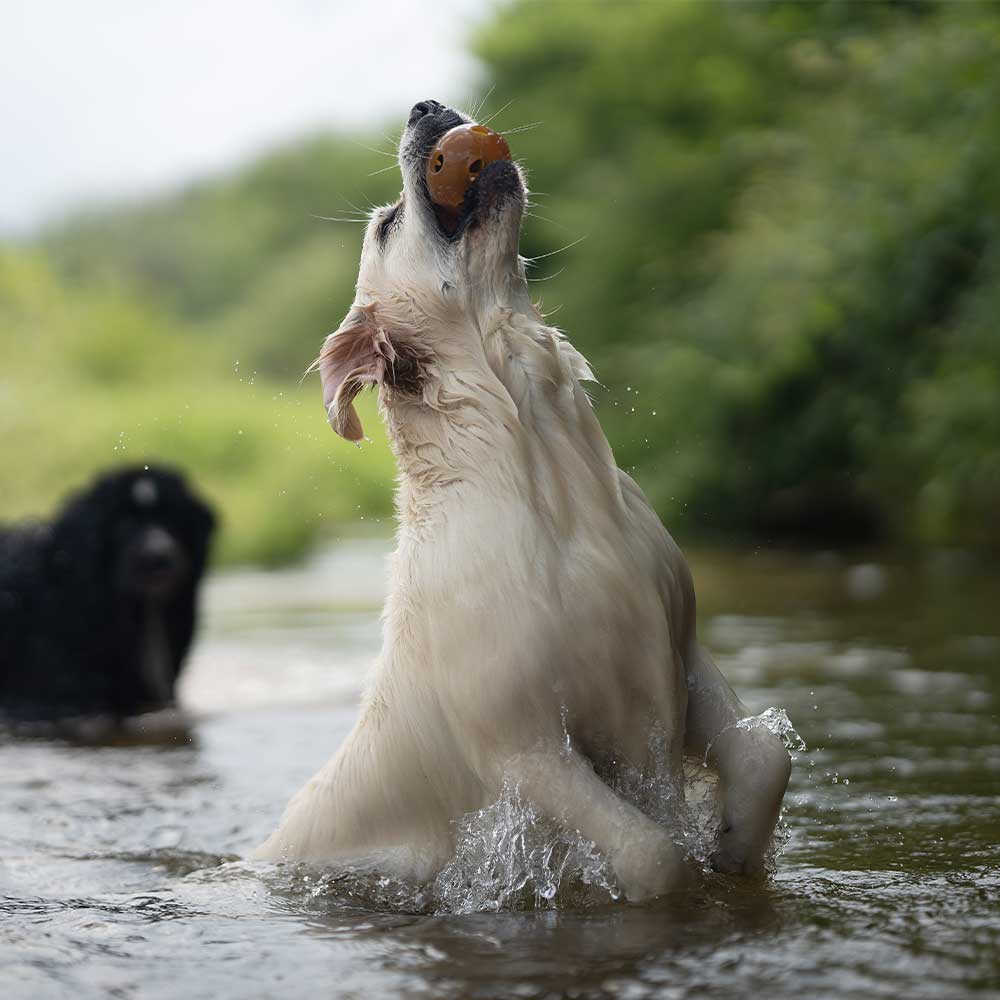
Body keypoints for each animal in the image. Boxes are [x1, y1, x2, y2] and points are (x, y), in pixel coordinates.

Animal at [256, 101, 788, 900]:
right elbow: (651, 853)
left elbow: (763, 756)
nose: (427, 107)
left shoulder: (682, 646)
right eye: (387, 226)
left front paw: (733, 849)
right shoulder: (524, 745)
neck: (541, 468)